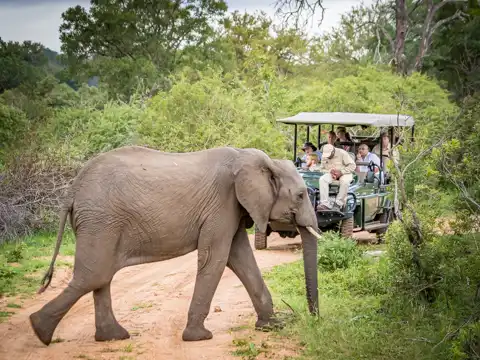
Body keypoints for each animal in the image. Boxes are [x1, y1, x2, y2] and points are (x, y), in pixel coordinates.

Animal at [28, 146, 320, 346]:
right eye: (301, 195)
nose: (312, 318)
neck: (256, 159)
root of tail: (72, 189)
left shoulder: (234, 209)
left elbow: (240, 258)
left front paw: (272, 326)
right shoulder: (222, 204)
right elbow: (216, 259)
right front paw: (199, 337)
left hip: (98, 222)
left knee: (101, 275)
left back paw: (112, 337)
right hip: (100, 220)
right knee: (95, 274)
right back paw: (39, 331)